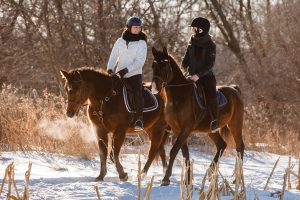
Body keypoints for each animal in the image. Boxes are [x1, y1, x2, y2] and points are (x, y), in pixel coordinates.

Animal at [151, 47, 245, 186]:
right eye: (153, 65)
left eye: (165, 66)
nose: (155, 88)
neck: (179, 96)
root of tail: (234, 89)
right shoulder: (177, 129)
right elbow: (185, 153)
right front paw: (187, 180)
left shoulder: (186, 128)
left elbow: (174, 150)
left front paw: (166, 178)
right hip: (210, 130)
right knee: (221, 145)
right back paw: (210, 173)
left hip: (235, 125)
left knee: (239, 147)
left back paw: (237, 179)